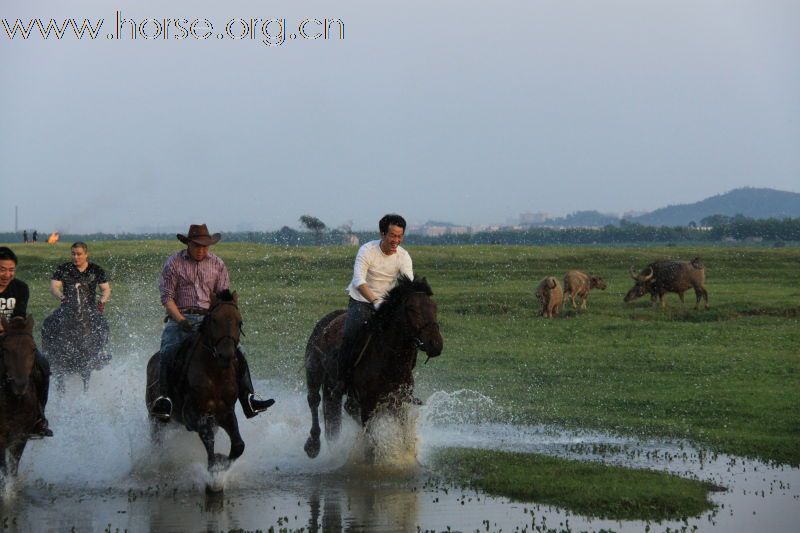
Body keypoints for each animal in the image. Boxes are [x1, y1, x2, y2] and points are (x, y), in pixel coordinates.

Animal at [304, 274, 444, 458]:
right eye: (411, 309)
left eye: (434, 307)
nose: (435, 345)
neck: (390, 361)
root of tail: (326, 321)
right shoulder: (368, 403)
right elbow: (371, 439)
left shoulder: (398, 401)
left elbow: (401, 433)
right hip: (314, 371)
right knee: (314, 400)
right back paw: (312, 445)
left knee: (345, 408)